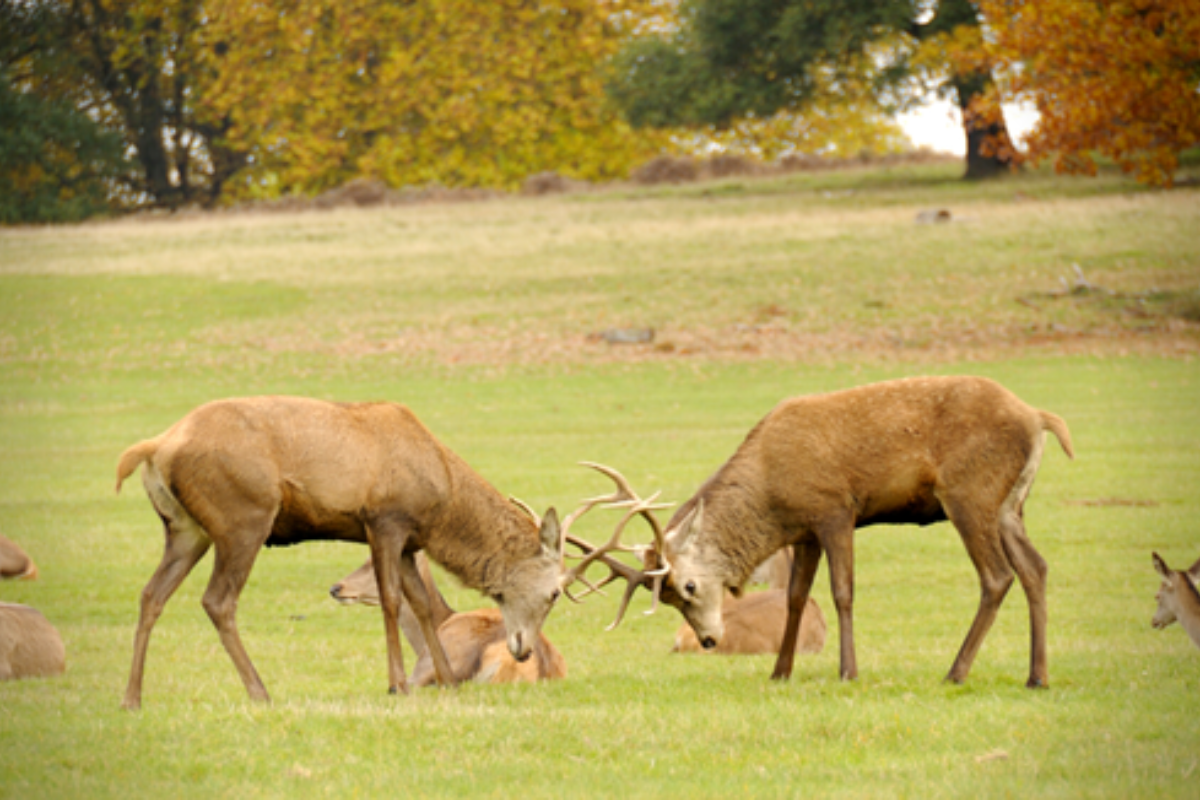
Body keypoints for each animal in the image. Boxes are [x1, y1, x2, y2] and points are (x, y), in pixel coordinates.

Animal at [566, 379, 1075, 690]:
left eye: (688, 585)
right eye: (668, 598)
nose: (708, 640)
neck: (772, 493)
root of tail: (1038, 417)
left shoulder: (835, 509)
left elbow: (842, 591)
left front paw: (848, 670)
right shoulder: (805, 530)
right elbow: (795, 596)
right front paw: (780, 671)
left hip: (970, 493)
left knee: (997, 575)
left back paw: (956, 671)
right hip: (1010, 505)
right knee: (1036, 567)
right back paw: (1037, 675)